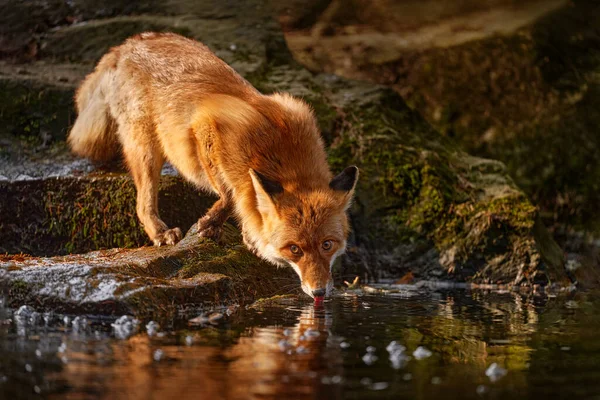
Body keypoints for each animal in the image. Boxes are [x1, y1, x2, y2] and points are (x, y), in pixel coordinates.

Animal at [67, 32, 356, 298]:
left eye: (327, 245)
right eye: (294, 249)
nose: (319, 293)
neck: (284, 156)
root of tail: (128, 43)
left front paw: (246, 232)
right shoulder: (207, 127)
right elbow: (231, 195)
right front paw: (214, 224)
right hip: (146, 146)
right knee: (142, 203)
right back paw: (160, 232)